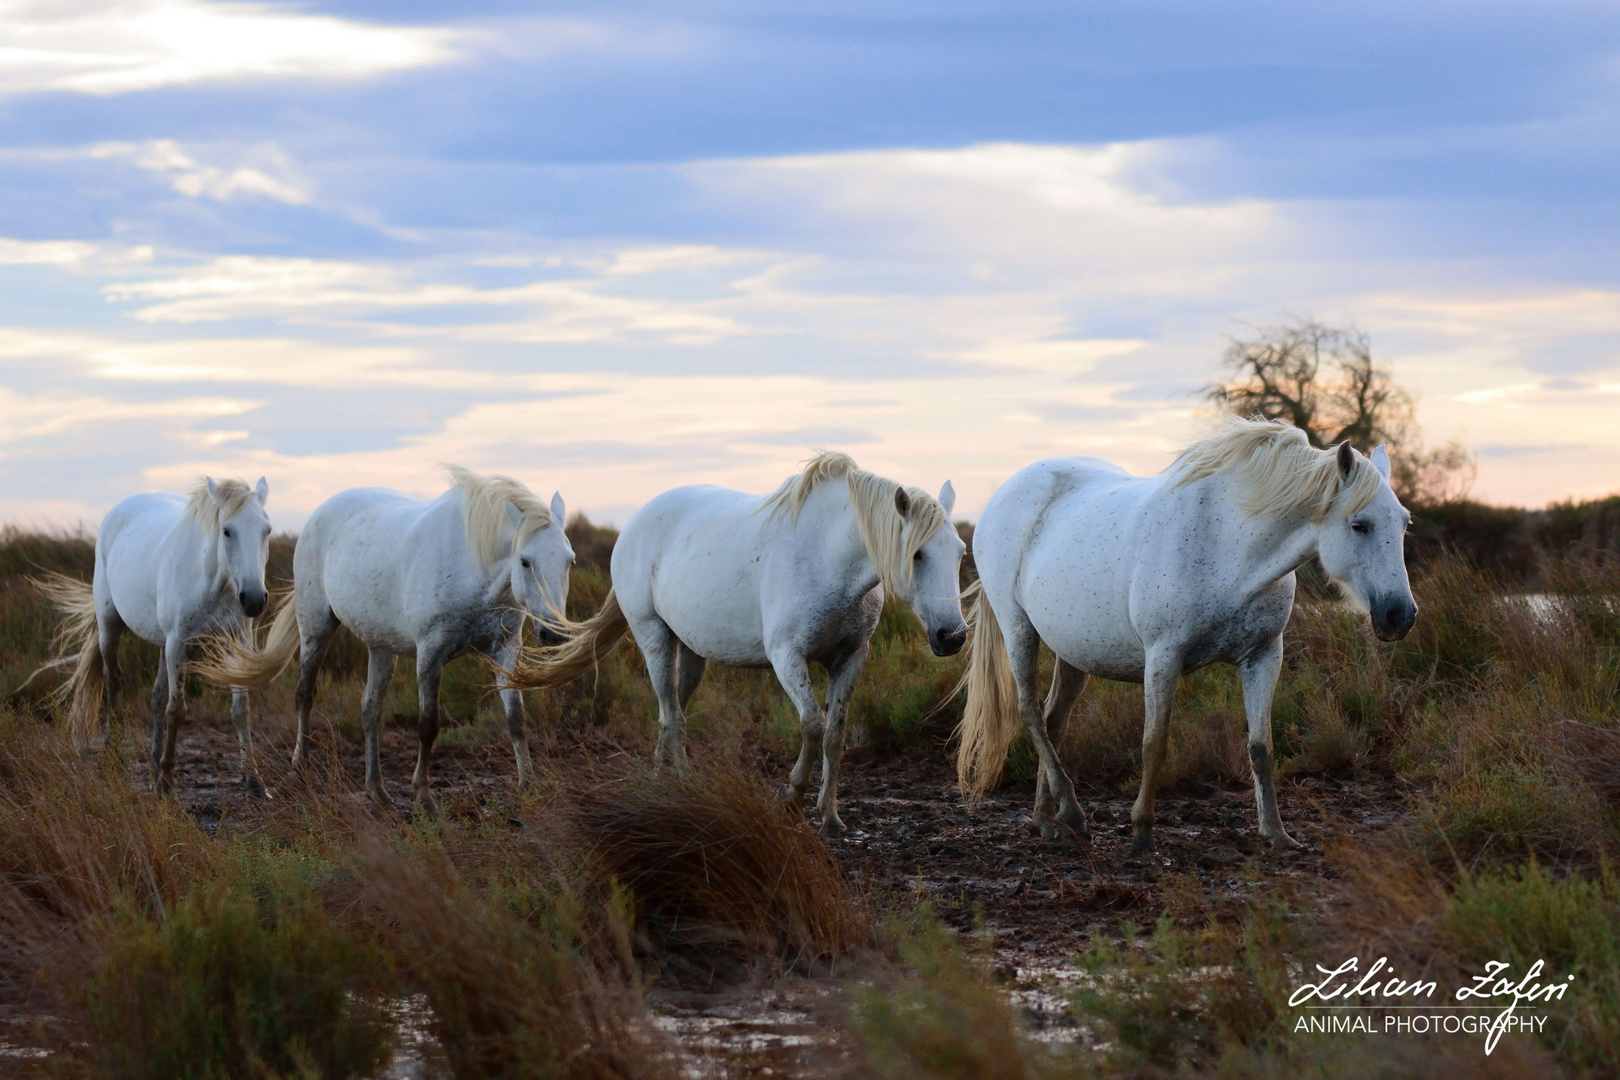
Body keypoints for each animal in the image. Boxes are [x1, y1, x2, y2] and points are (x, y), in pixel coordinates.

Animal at [38, 476, 275, 799]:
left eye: (267, 530)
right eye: (227, 531)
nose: (253, 600)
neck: (210, 581)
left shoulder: (237, 641)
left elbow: (241, 710)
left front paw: (254, 782)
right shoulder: (177, 645)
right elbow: (177, 709)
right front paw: (166, 782)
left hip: (162, 644)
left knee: (156, 696)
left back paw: (152, 763)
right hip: (110, 624)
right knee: (114, 681)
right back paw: (114, 756)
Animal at [200, 466, 573, 809]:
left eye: (569, 561)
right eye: (524, 561)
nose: (553, 633)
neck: (473, 564)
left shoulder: (505, 648)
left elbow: (516, 719)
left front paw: (528, 786)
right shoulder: (431, 652)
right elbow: (428, 724)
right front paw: (423, 796)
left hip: (381, 647)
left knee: (370, 708)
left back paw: (376, 790)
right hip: (316, 629)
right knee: (304, 694)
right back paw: (299, 770)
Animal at [508, 453, 959, 835]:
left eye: (958, 553)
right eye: (917, 555)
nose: (952, 635)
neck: (828, 556)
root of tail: (635, 523)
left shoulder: (850, 658)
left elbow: (834, 734)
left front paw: (830, 817)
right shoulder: (787, 657)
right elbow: (812, 724)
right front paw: (792, 799)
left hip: (690, 651)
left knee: (671, 712)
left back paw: (660, 779)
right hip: (653, 637)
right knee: (672, 715)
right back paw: (685, 787)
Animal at [959, 420, 1419, 854]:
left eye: (1404, 522)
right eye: (1359, 525)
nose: (1401, 615)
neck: (1228, 546)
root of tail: (1007, 492)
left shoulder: (1263, 655)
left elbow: (1261, 748)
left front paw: (1276, 833)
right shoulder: (1164, 656)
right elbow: (1154, 743)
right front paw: (1142, 835)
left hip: (1073, 651)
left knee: (1053, 723)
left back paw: (1048, 822)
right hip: (1018, 627)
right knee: (1031, 714)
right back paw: (1071, 815)